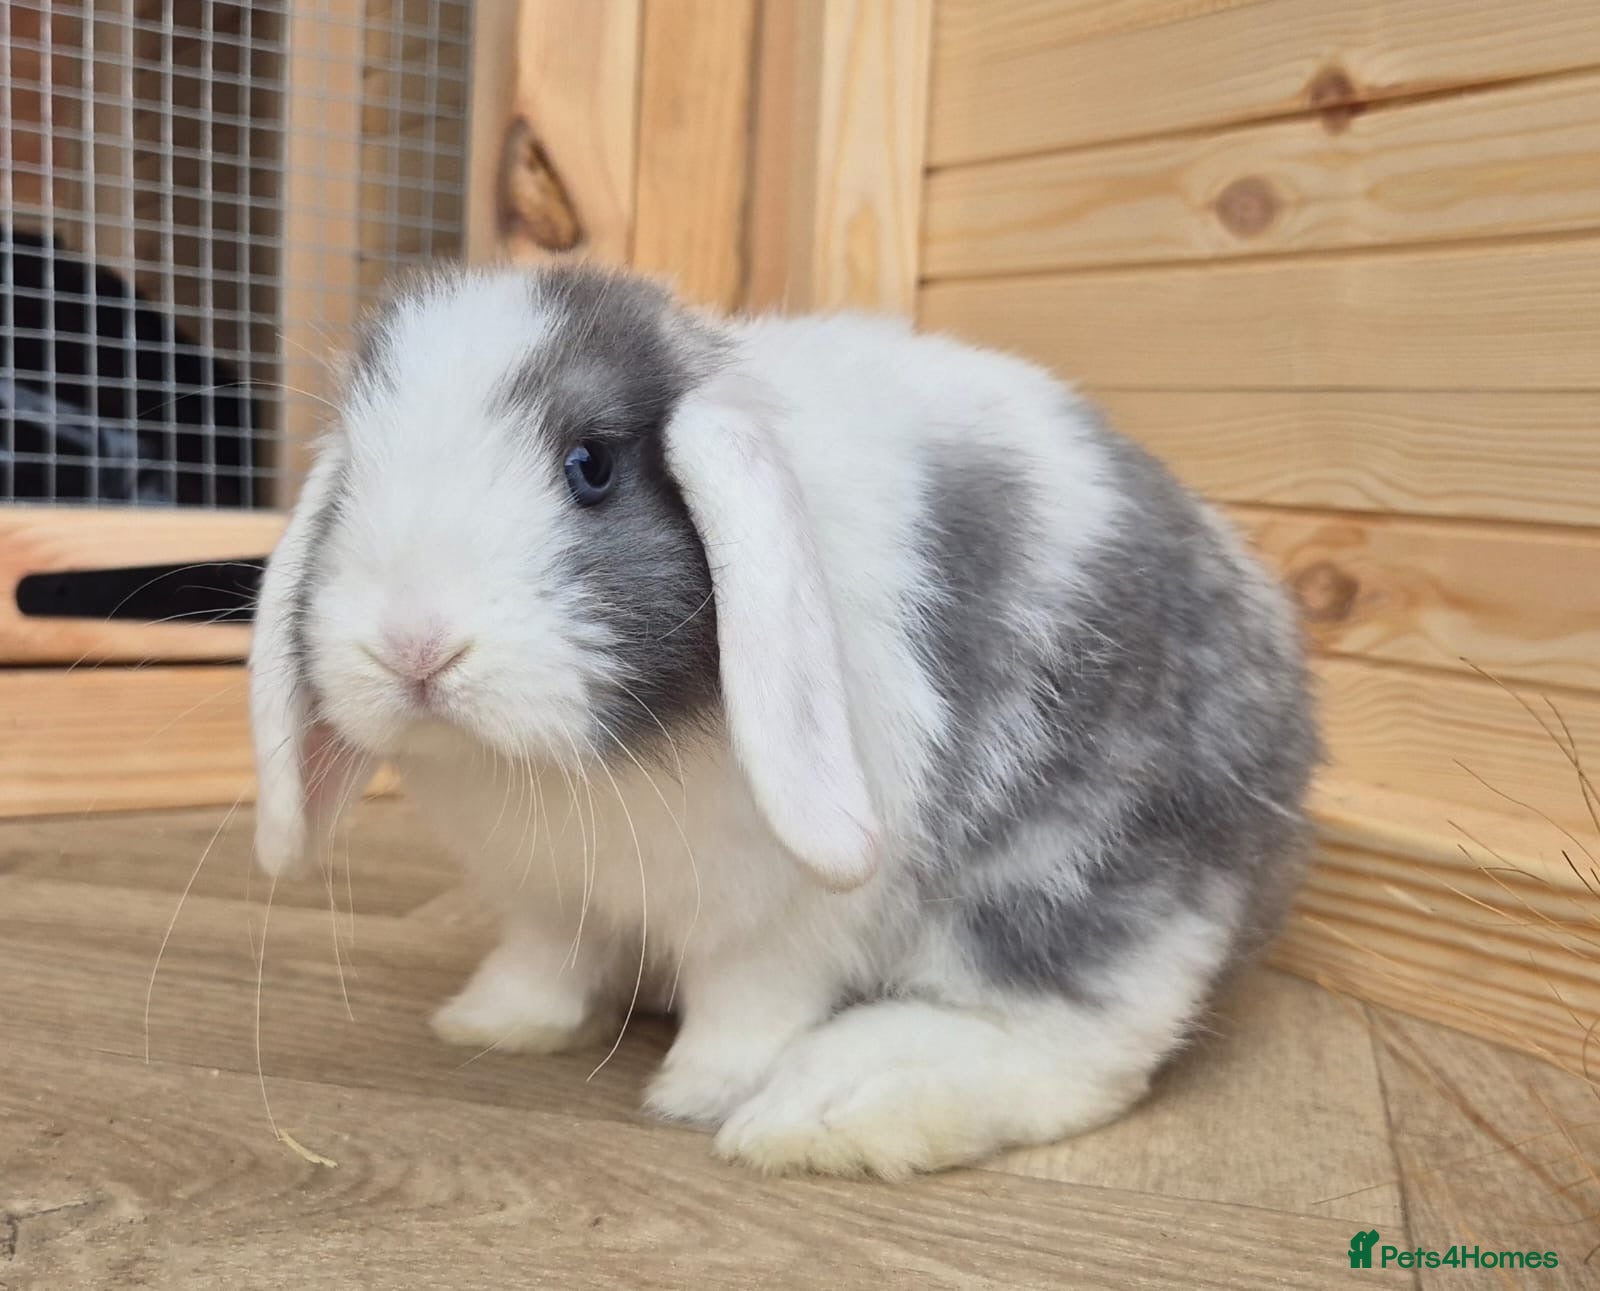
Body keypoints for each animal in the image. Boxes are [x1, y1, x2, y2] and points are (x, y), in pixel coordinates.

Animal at [249, 263, 1319, 1179]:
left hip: (1081, 870)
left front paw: (698, 1093)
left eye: (590, 466)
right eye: (356, 475)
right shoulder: (548, 900)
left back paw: (824, 1114)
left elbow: (747, 1003)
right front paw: (493, 1024)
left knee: (1074, 1043)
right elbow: (546, 963)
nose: (413, 646)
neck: (585, 766)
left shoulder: (779, 924)